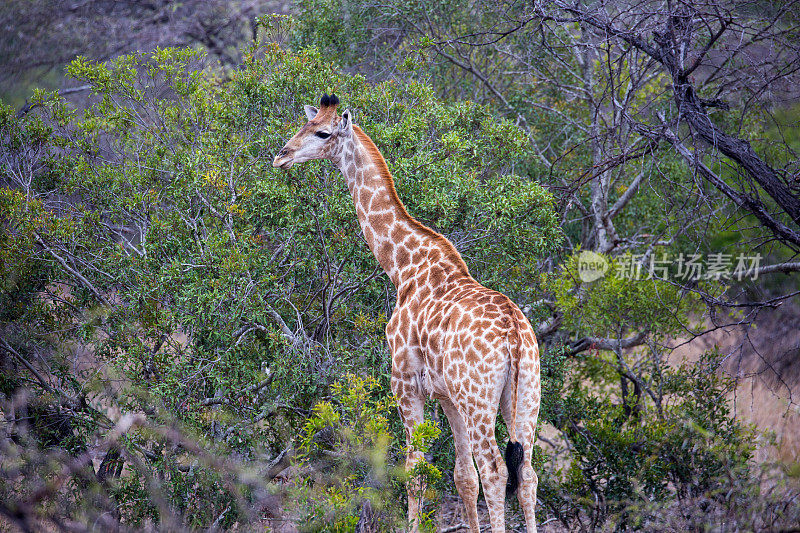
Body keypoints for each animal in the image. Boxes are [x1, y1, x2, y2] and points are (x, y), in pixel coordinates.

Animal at [272, 93, 540, 528]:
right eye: (303, 125)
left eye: (323, 133)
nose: (282, 156)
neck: (402, 267)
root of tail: (515, 337)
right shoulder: (446, 394)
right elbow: (462, 477)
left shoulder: (406, 381)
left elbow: (415, 471)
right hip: (524, 394)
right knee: (527, 474)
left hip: (479, 399)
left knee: (497, 470)